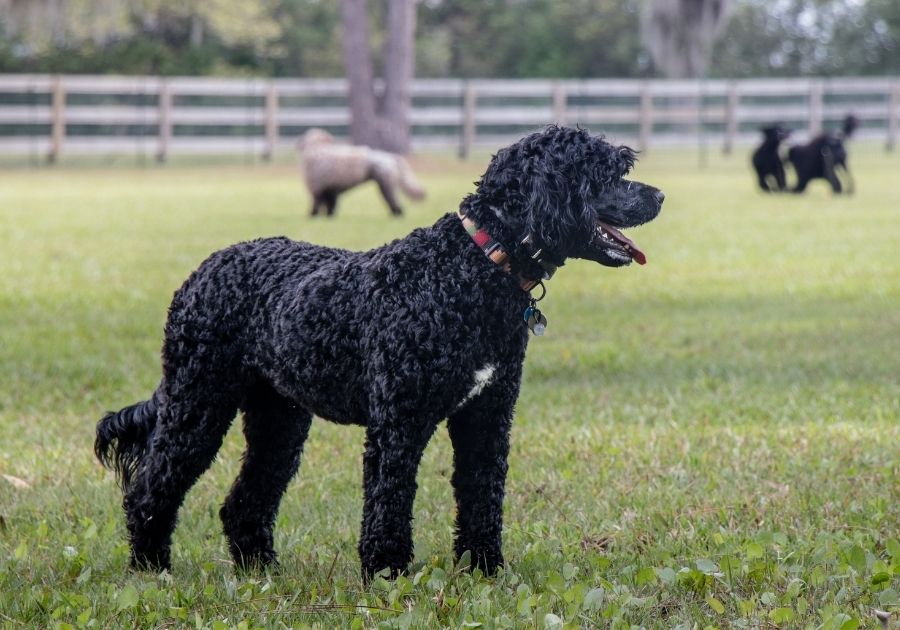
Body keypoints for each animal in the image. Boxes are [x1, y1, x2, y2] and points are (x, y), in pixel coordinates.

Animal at [298, 128, 428, 217]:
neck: (316, 147)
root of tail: (390, 156)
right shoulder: (330, 190)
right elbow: (331, 207)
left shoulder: (317, 189)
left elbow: (316, 205)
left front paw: (312, 216)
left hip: (386, 185)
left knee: (395, 203)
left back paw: (396, 215)